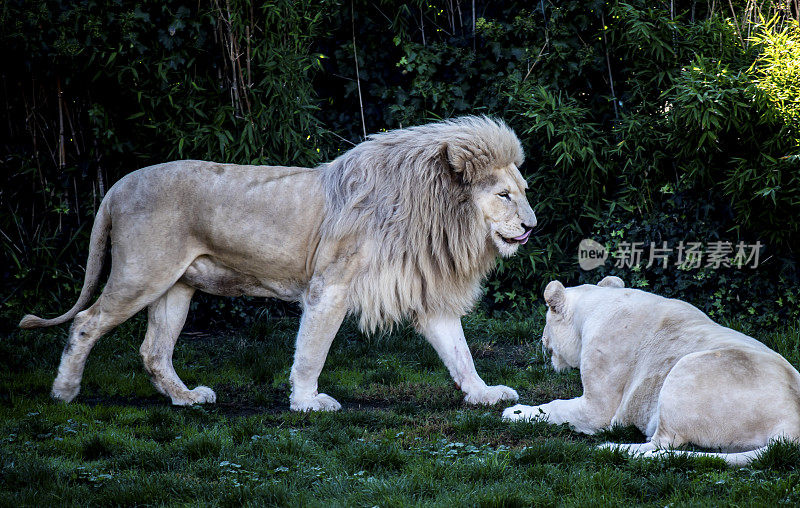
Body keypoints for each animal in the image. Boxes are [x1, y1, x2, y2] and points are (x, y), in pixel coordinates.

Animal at [18, 117, 536, 410]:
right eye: (504, 195)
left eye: (524, 192)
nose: (533, 226)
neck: (438, 217)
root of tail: (117, 186)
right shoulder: (330, 287)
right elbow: (312, 351)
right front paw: (307, 402)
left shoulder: (425, 295)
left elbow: (460, 352)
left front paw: (483, 394)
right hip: (141, 274)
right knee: (86, 322)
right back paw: (64, 393)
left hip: (175, 287)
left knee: (153, 350)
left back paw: (187, 399)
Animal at [504, 276, 800, 466]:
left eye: (547, 317)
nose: (542, 339)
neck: (596, 306)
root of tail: (792, 424)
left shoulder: (597, 409)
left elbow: (554, 408)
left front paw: (514, 412)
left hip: (685, 369)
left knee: (663, 446)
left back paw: (612, 450)